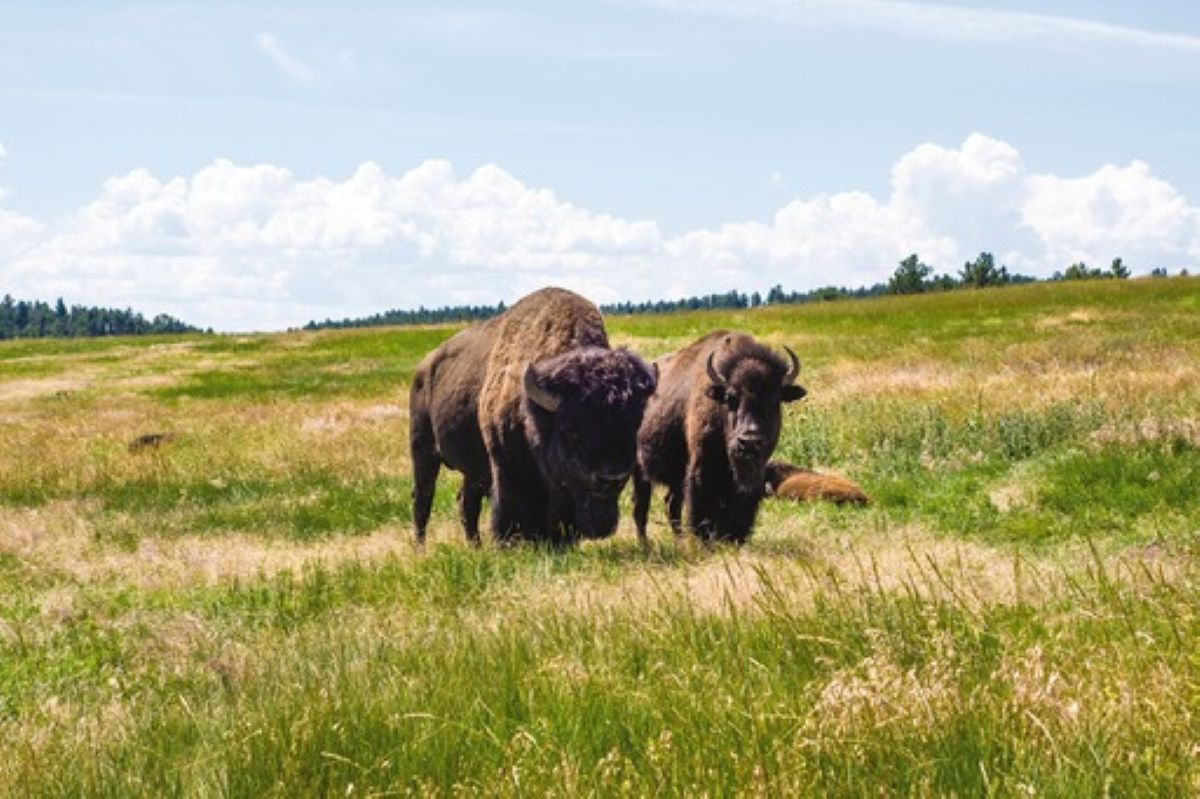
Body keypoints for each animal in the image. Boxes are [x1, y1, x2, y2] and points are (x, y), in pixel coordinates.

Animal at [409, 318, 499, 545]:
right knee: (422, 499)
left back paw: (476, 547)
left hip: (472, 468)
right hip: (422, 451)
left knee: (466, 502)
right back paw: (420, 549)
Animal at [633, 331, 806, 545]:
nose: (749, 441)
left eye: (775, 400)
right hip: (640, 470)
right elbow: (702, 510)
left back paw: (679, 541)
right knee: (641, 508)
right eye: (730, 398)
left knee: (670, 505)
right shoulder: (701, 469)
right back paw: (645, 545)